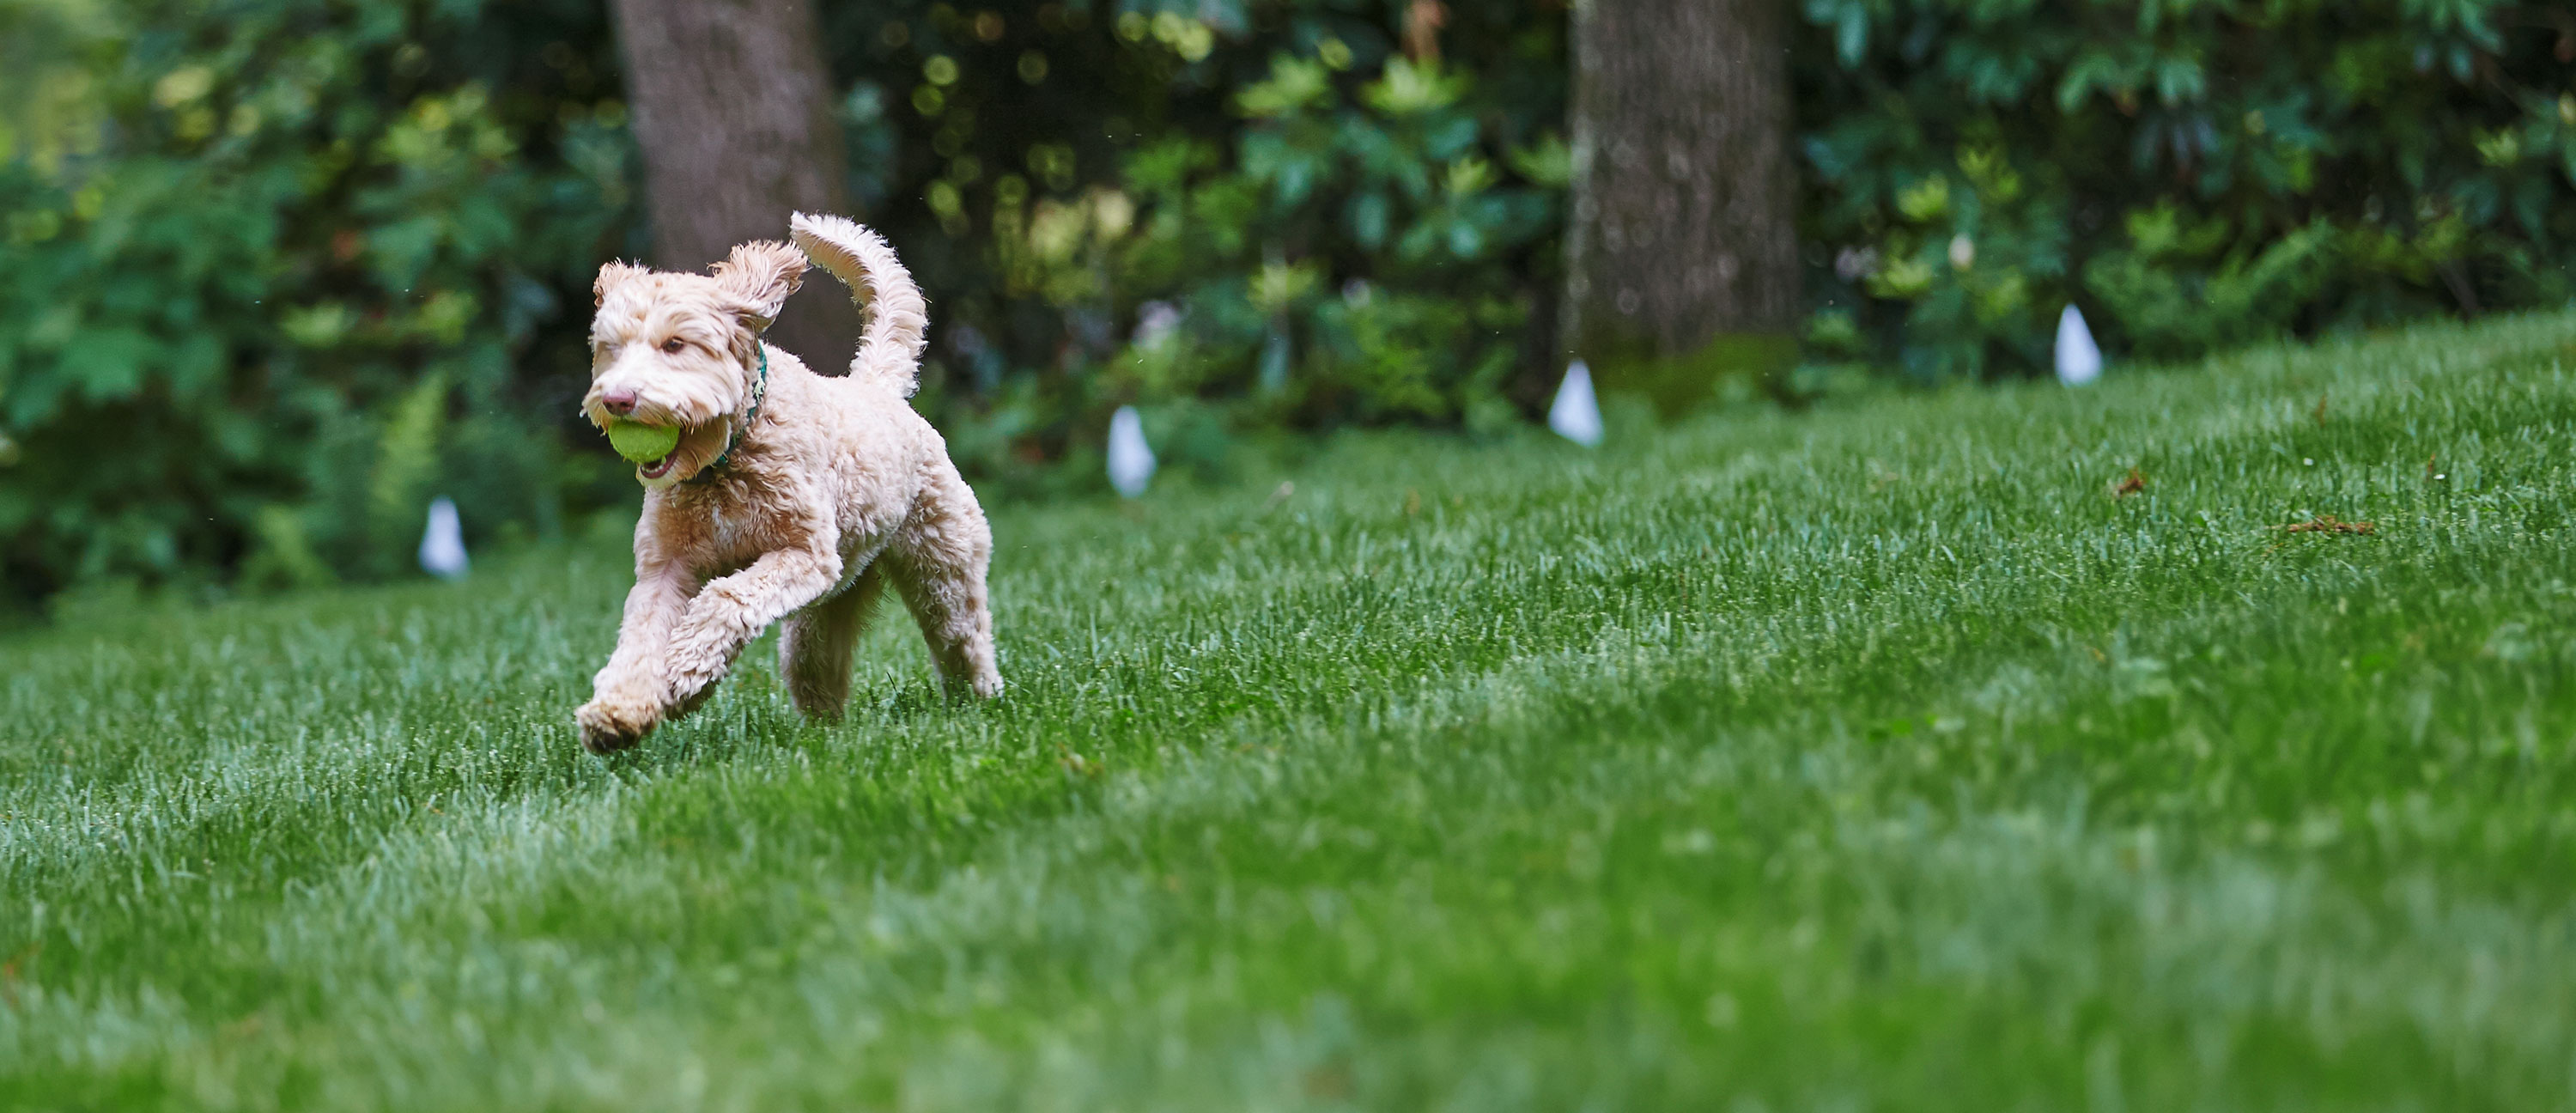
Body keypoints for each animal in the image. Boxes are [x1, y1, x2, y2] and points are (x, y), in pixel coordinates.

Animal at [574, 212, 994, 752]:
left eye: (674, 345)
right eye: (611, 349)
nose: (617, 400)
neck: (726, 462)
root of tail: (876, 387)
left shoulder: (804, 555)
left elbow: (725, 599)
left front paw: (686, 669)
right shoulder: (664, 568)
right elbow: (641, 638)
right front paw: (619, 711)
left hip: (941, 570)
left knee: (963, 637)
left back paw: (979, 702)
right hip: (824, 612)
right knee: (818, 671)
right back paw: (824, 736)